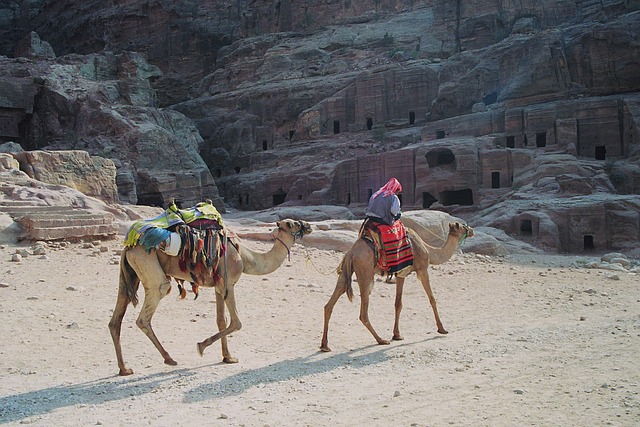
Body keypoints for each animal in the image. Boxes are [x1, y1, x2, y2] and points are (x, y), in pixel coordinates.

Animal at [109, 219, 312, 376]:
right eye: (292, 223)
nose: (309, 226)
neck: (245, 257)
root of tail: (128, 247)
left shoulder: (218, 286)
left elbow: (221, 320)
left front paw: (228, 357)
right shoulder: (228, 283)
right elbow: (237, 322)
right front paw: (201, 346)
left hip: (130, 275)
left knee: (116, 318)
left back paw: (124, 368)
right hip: (150, 268)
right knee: (148, 309)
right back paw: (169, 359)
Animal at [320, 222, 476, 352]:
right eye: (463, 226)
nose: (472, 230)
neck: (430, 251)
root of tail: (351, 252)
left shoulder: (401, 275)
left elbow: (398, 304)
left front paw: (397, 335)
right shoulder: (422, 269)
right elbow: (432, 299)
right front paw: (442, 329)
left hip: (346, 272)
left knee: (329, 304)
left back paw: (324, 346)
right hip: (366, 273)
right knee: (363, 313)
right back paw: (381, 340)